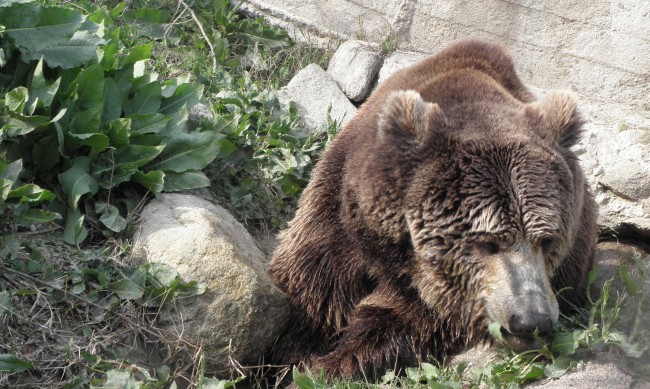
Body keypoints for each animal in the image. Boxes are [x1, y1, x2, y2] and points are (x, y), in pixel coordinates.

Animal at [266, 39, 596, 378]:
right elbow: (310, 287)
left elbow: (394, 319)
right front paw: (292, 355)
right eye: (488, 242)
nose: (532, 320)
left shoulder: (432, 295)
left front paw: (331, 364)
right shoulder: (338, 212)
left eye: (547, 241)